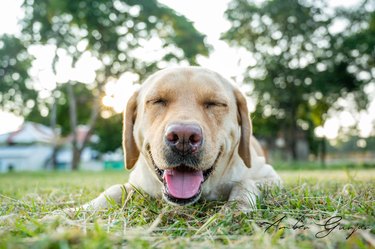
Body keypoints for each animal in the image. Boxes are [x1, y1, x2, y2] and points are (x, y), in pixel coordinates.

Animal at [83, 66, 280, 212]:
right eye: (157, 100)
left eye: (215, 103)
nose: (183, 137)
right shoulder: (138, 184)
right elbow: (116, 189)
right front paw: (86, 208)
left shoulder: (272, 178)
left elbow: (245, 182)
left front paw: (237, 207)